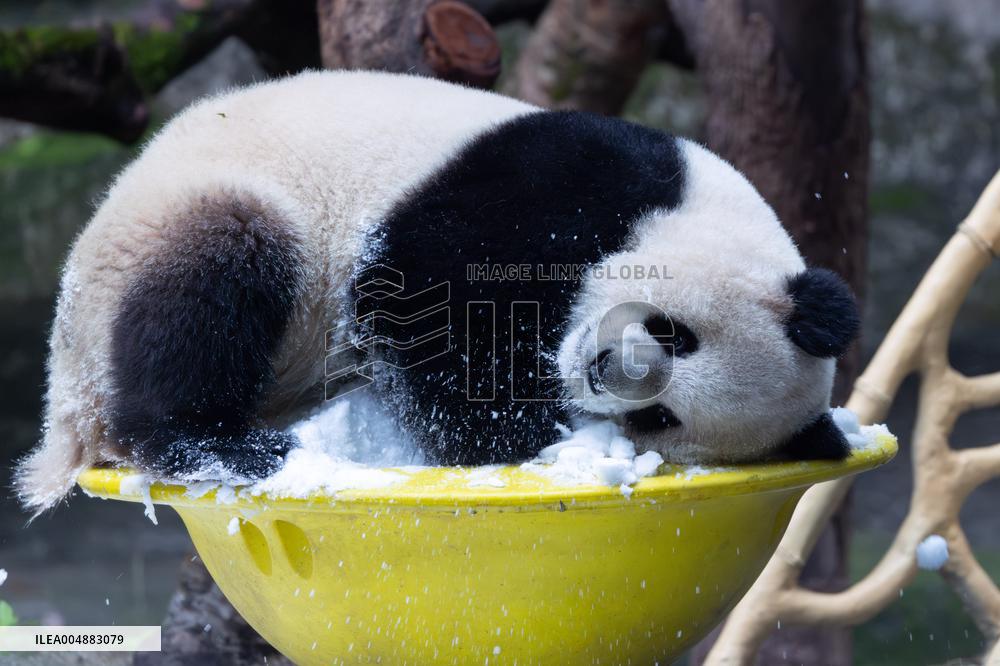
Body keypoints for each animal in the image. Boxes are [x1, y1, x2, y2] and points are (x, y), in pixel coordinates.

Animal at [16, 70, 859, 513]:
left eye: (661, 418)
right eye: (675, 333)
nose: (602, 373)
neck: (699, 211)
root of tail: (67, 407)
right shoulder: (575, 177)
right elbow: (420, 290)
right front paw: (514, 437)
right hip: (180, 224)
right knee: (210, 287)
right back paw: (214, 445)